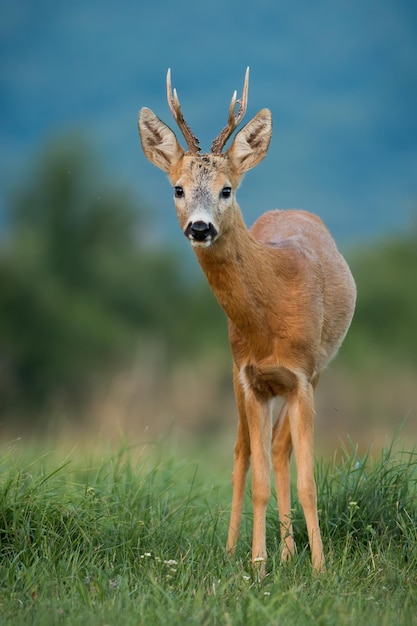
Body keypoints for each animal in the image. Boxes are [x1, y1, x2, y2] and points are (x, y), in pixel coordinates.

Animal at [138, 67, 356, 572]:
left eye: (227, 189)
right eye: (177, 188)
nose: (200, 227)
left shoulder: (301, 376)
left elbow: (307, 478)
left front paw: (318, 568)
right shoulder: (248, 376)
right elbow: (256, 477)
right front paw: (256, 565)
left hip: (314, 373)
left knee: (277, 450)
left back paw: (291, 550)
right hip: (239, 377)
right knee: (244, 452)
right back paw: (236, 548)